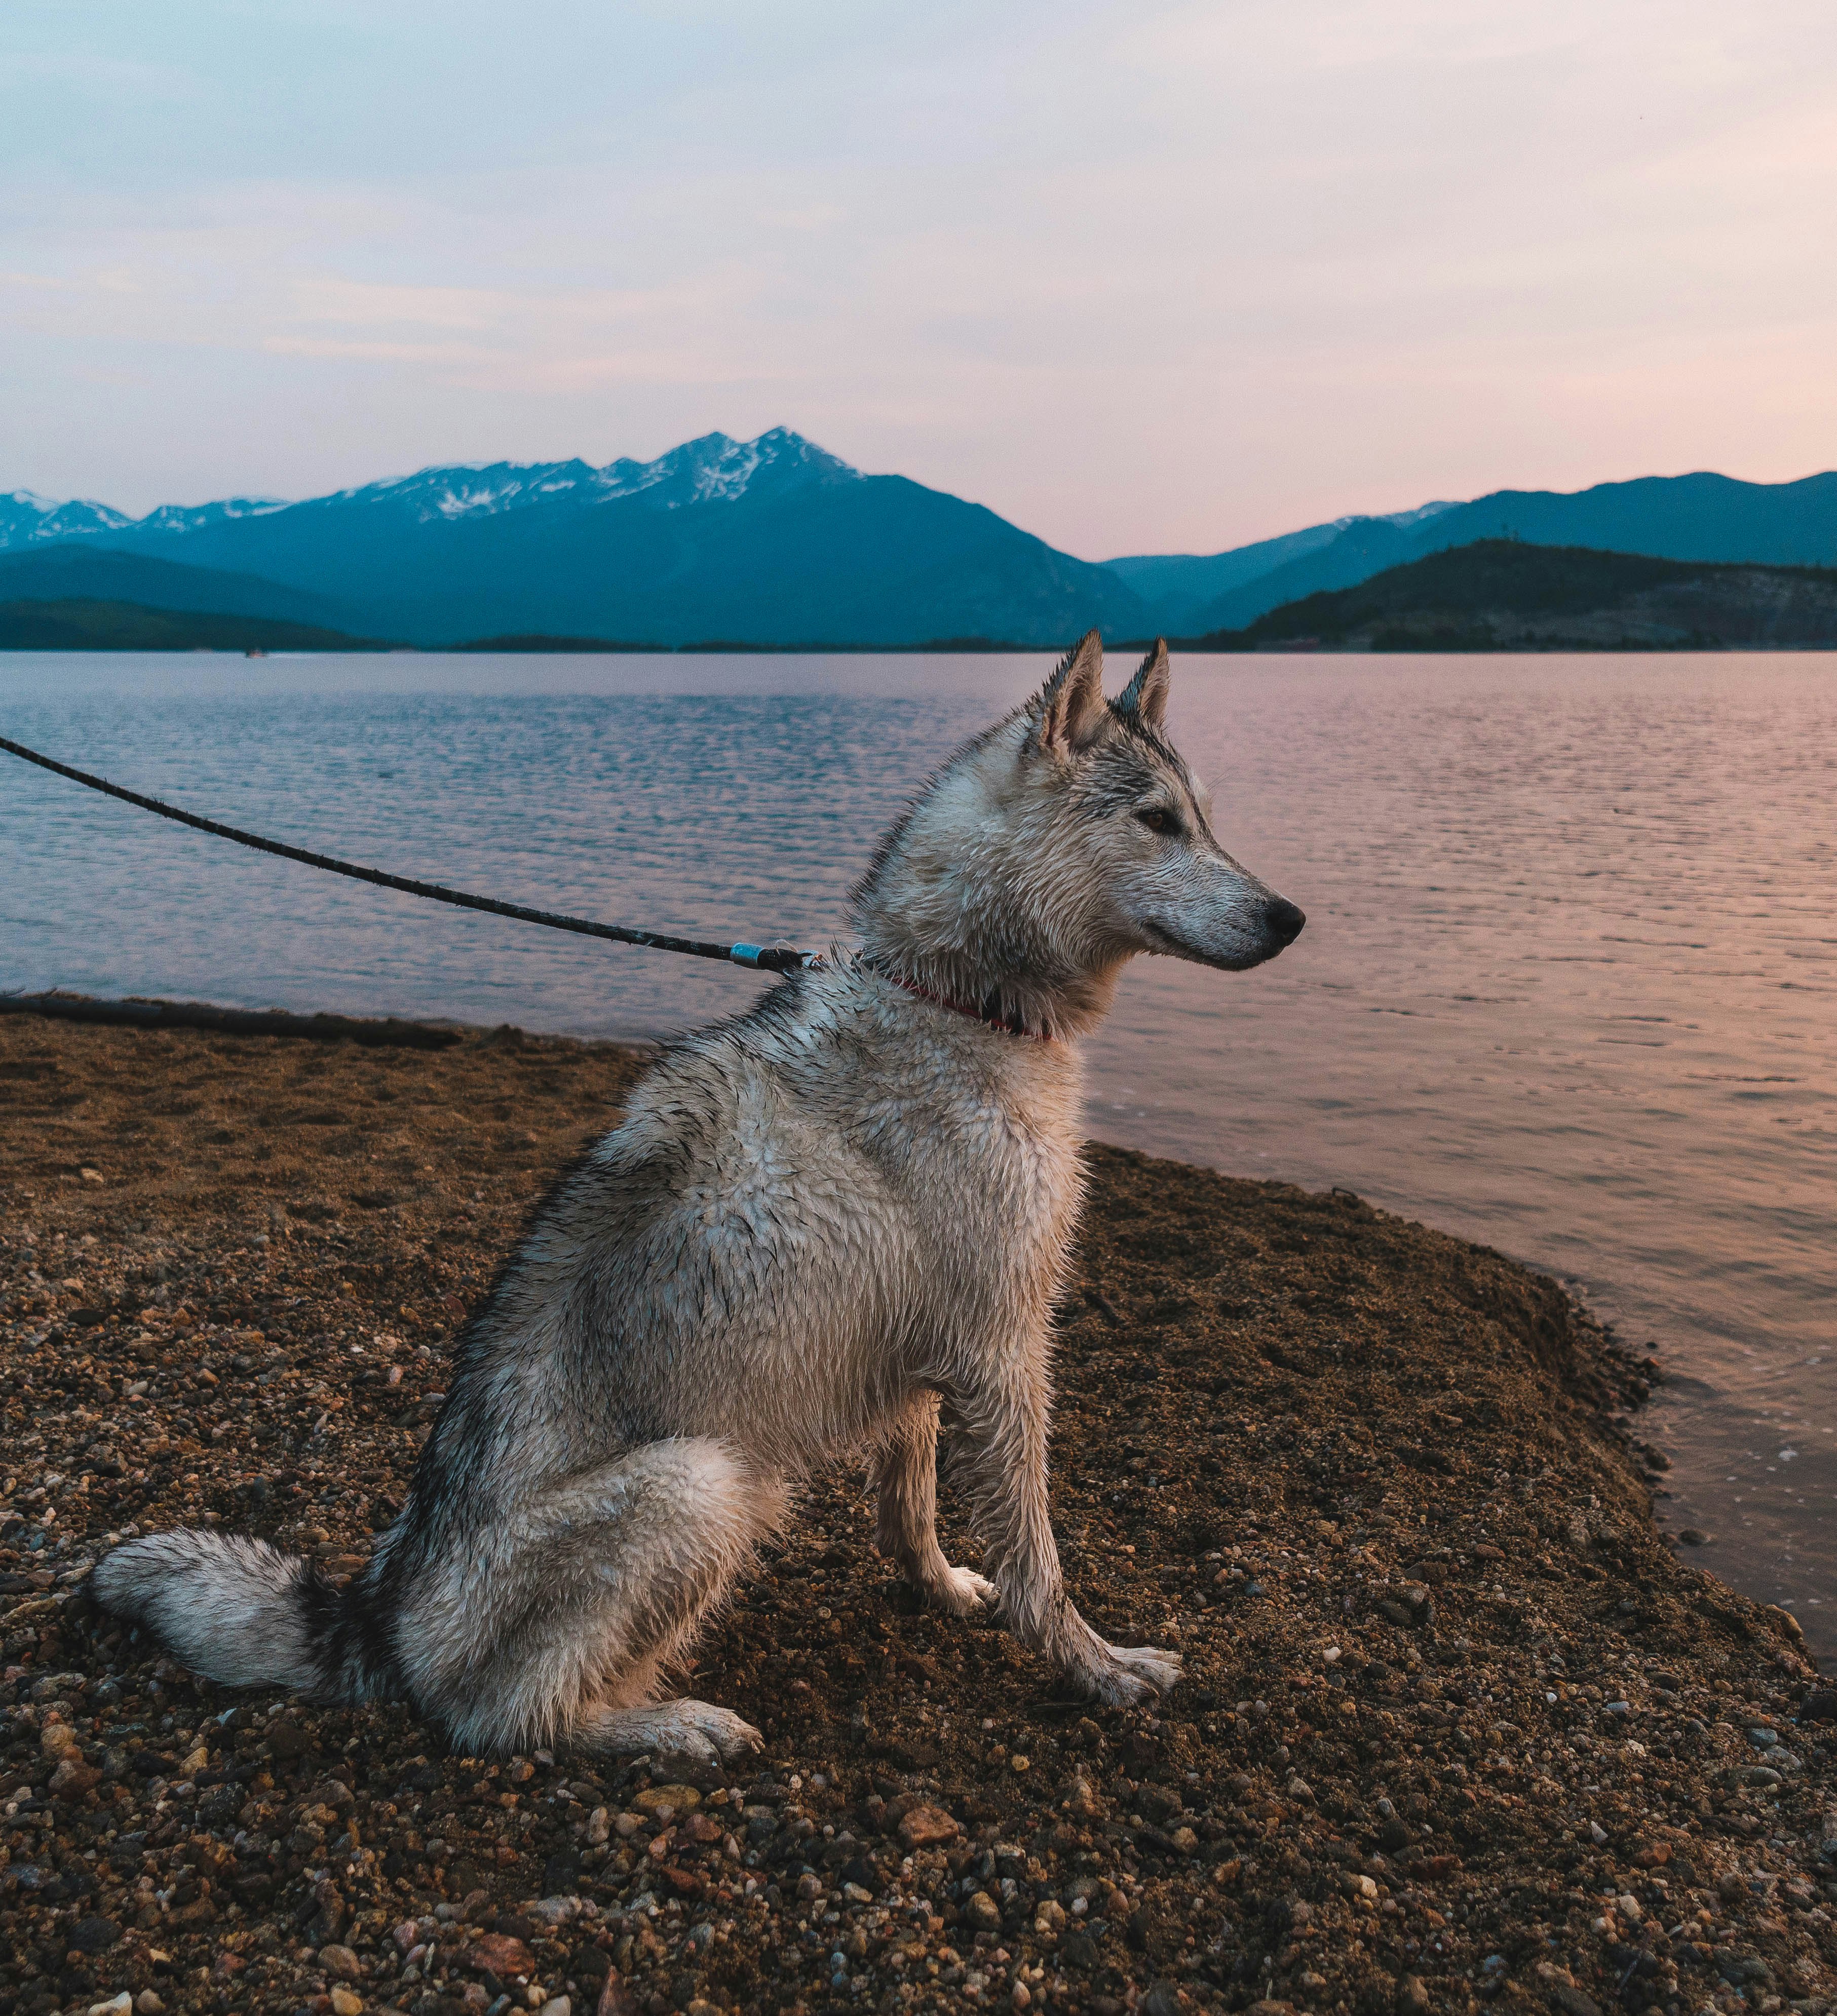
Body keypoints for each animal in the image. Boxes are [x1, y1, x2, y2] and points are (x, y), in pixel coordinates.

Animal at [93, 633, 1307, 1766]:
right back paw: (669, 1725)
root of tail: (378, 1617)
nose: (1291, 918)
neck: (957, 995)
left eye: (1203, 818)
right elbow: (1039, 1556)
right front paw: (1091, 1665)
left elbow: (909, 1506)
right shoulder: (1004, 1348)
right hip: (702, 1483)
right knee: (509, 1719)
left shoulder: (927, 1359)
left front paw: (944, 1590)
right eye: (1158, 822)